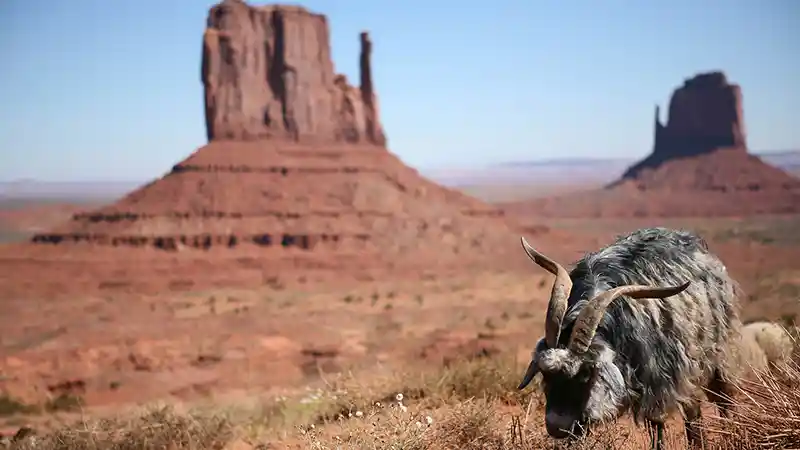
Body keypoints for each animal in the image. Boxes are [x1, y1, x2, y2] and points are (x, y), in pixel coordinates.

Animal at [520, 229, 744, 450]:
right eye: (545, 373)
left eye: (585, 373)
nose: (557, 427)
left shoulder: (661, 376)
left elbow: (663, 421)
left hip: (715, 355)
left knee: (719, 401)